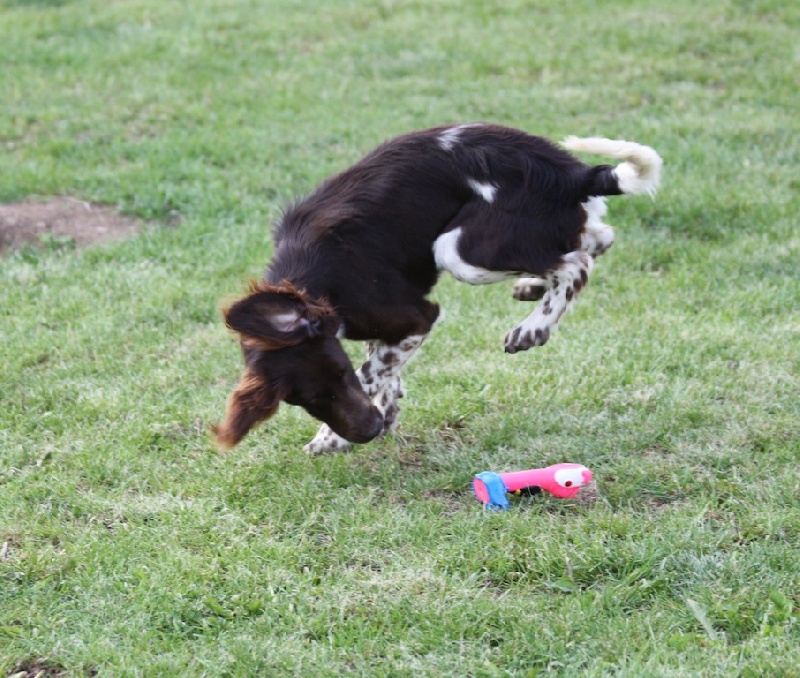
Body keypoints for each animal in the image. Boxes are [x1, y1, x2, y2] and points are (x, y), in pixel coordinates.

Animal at [214, 126, 664, 456]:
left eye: (340, 375)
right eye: (304, 400)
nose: (369, 430)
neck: (316, 281)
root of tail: (574, 174)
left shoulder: (417, 317)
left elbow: (373, 370)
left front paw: (333, 436)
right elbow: (384, 365)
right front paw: (385, 410)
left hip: (463, 248)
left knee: (577, 264)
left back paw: (533, 328)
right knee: (596, 238)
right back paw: (532, 286)